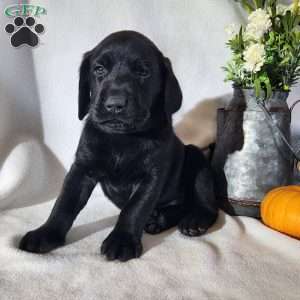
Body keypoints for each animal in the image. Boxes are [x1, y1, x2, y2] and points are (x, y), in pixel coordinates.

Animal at [18, 29, 218, 260]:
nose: (115, 104)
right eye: (99, 69)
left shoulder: (151, 176)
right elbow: (64, 203)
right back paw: (158, 220)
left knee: (206, 205)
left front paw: (122, 241)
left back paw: (194, 220)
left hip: (196, 157)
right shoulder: (82, 169)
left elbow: (134, 208)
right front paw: (46, 233)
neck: (123, 138)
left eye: (143, 72)